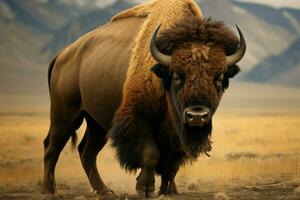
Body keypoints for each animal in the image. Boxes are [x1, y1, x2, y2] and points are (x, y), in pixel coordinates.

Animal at [42, 0, 246, 198]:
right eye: (177, 76)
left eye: (219, 77)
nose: (197, 116)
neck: (162, 76)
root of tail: (61, 56)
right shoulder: (138, 118)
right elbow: (151, 154)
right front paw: (145, 189)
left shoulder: (177, 136)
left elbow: (172, 165)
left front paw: (168, 190)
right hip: (66, 117)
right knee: (52, 148)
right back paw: (49, 190)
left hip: (96, 124)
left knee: (87, 152)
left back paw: (105, 190)